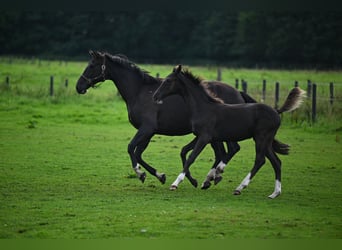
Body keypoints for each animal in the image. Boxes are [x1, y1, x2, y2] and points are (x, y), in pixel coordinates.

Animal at [75, 51, 256, 188]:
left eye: (92, 65)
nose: (79, 87)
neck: (140, 92)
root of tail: (238, 92)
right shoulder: (149, 132)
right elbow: (138, 153)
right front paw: (160, 176)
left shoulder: (147, 129)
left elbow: (131, 148)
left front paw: (141, 174)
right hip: (214, 136)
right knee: (222, 153)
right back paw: (209, 179)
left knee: (230, 150)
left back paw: (212, 177)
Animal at [152, 65, 304, 198]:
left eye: (168, 80)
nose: (155, 96)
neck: (203, 107)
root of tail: (276, 111)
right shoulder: (201, 136)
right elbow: (185, 151)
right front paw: (195, 180)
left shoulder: (205, 137)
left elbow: (191, 157)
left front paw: (175, 183)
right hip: (265, 141)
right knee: (276, 162)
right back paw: (274, 193)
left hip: (261, 138)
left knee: (260, 160)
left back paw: (239, 187)